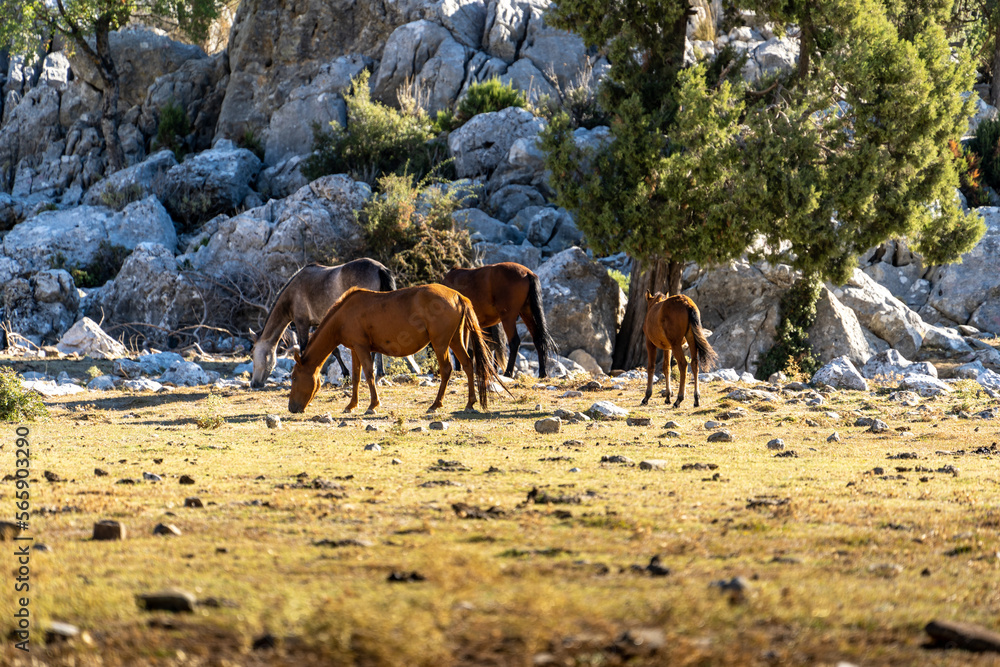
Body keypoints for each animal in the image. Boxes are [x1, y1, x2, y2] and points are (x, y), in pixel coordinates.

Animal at [249, 259, 420, 388]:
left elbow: (305, 348)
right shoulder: (318, 323)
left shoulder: (302, 323)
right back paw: (379, 374)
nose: (254, 384)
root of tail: (380, 268)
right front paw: (345, 374)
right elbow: (334, 350)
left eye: (253, 354)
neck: (292, 295)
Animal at [287, 285, 507, 415]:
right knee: (469, 365)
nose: (291, 408)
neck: (344, 314)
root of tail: (458, 296)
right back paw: (470, 403)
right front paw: (351, 405)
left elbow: (369, 374)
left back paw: (436, 404)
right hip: (455, 341)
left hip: (440, 343)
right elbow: (357, 378)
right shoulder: (355, 349)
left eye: (294, 377)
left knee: (446, 370)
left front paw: (372, 405)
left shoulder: (361, 347)